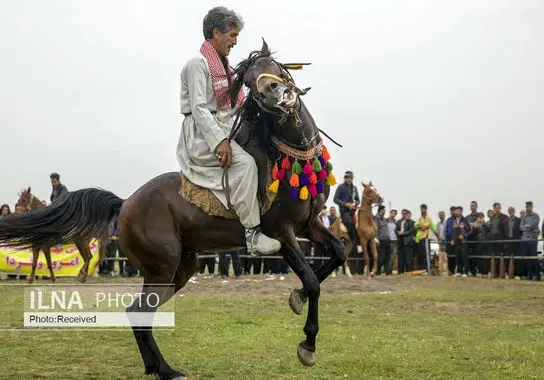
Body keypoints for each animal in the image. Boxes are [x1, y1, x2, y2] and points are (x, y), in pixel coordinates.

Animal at [0, 40, 346, 378]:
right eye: (249, 82)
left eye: (273, 66)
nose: (273, 91)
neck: (287, 154)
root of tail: (126, 202)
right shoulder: (281, 233)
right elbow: (311, 280)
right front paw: (307, 344)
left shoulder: (308, 225)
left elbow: (339, 253)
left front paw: (297, 298)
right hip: (162, 266)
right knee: (139, 311)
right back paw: (166, 369)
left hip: (180, 267)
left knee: (138, 312)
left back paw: (155, 366)